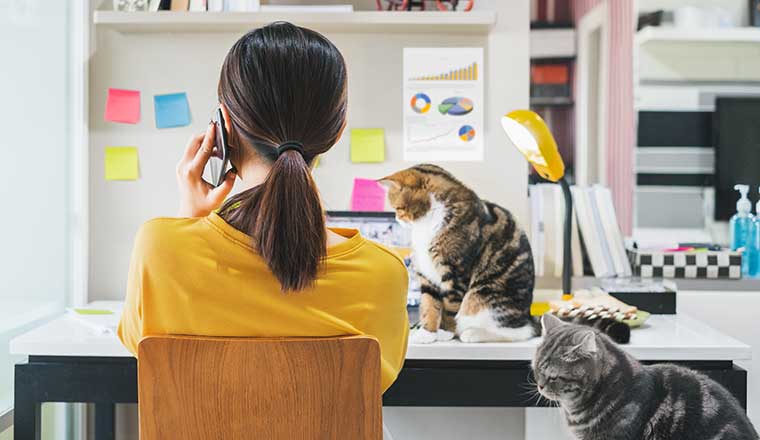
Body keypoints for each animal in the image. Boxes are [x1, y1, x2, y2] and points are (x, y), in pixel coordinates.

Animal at [380, 164, 536, 344]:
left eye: (399, 208)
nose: (397, 218)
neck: (426, 224)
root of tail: (528, 315)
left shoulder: (455, 272)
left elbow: (450, 305)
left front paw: (445, 332)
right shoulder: (427, 274)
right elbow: (429, 303)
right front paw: (427, 333)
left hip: (485, 296)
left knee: (520, 331)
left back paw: (473, 333)